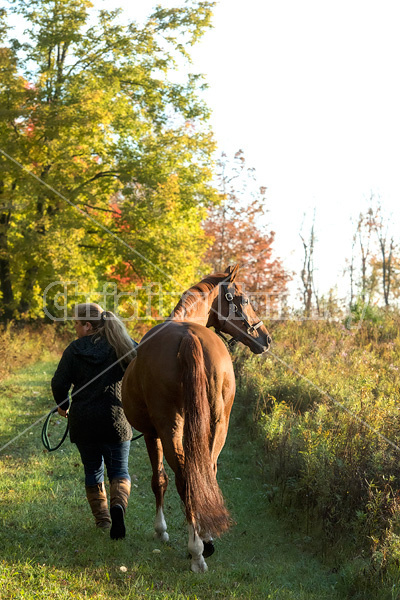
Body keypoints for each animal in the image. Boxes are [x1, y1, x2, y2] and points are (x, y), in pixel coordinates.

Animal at [122, 266, 272, 572]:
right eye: (245, 299)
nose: (266, 339)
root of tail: (188, 336)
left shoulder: (153, 433)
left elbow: (159, 480)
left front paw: (162, 531)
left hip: (170, 428)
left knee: (184, 478)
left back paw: (197, 550)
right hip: (217, 424)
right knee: (206, 472)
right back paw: (205, 539)